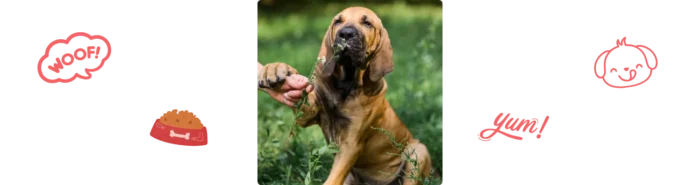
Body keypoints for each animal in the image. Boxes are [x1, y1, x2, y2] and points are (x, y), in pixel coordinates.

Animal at [258, 6, 432, 184]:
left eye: (367, 23)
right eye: (338, 21)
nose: (346, 33)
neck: (346, 84)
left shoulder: (351, 143)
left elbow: (333, 178)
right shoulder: (308, 114)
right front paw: (274, 69)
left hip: (419, 151)